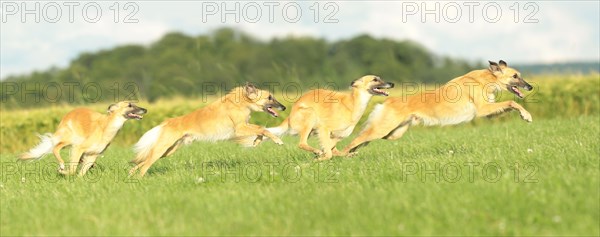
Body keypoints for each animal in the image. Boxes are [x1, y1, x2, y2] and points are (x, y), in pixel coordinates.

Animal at [130, 82, 284, 177]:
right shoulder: (239, 128)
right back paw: (139, 179)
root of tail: (168, 121)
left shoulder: (244, 125)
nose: (284, 107)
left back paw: (131, 172)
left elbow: (260, 130)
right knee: (145, 165)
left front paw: (257, 142)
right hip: (162, 148)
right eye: (269, 97)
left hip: (168, 151)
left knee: (143, 161)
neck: (241, 102)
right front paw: (278, 140)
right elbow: (262, 129)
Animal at [342, 60, 536, 155]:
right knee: (354, 141)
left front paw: (524, 115)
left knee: (365, 140)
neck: (485, 80)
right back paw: (340, 155)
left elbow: (511, 105)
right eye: (515, 76)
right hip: (383, 128)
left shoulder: (489, 110)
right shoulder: (482, 109)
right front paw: (527, 116)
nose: (530, 87)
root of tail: (389, 101)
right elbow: (512, 102)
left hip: (394, 133)